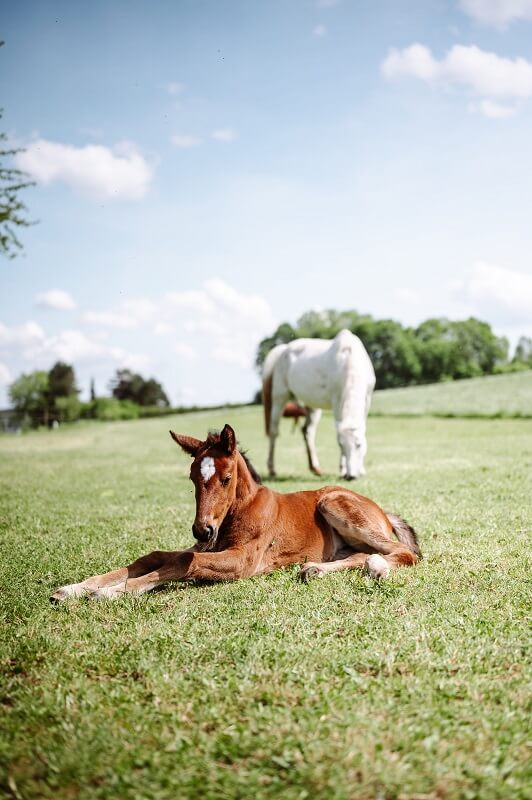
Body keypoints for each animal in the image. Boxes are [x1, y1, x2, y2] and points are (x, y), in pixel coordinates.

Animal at [50, 424, 422, 600]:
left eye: (226, 478)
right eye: (192, 478)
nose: (202, 530)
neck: (240, 511)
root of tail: (382, 510)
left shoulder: (244, 561)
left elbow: (185, 563)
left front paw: (109, 592)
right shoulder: (209, 546)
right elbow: (156, 556)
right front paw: (71, 590)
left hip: (333, 503)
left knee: (401, 553)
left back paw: (377, 568)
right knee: (360, 554)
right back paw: (314, 569)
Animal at [262, 328, 374, 478]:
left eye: (359, 445)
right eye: (341, 445)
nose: (351, 476)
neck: (349, 361)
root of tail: (284, 349)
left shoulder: (367, 399)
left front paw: (360, 469)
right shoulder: (336, 401)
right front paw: (343, 469)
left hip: (311, 405)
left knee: (307, 431)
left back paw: (315, 468)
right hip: (279, 398)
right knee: (274, 432)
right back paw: (272, 469)